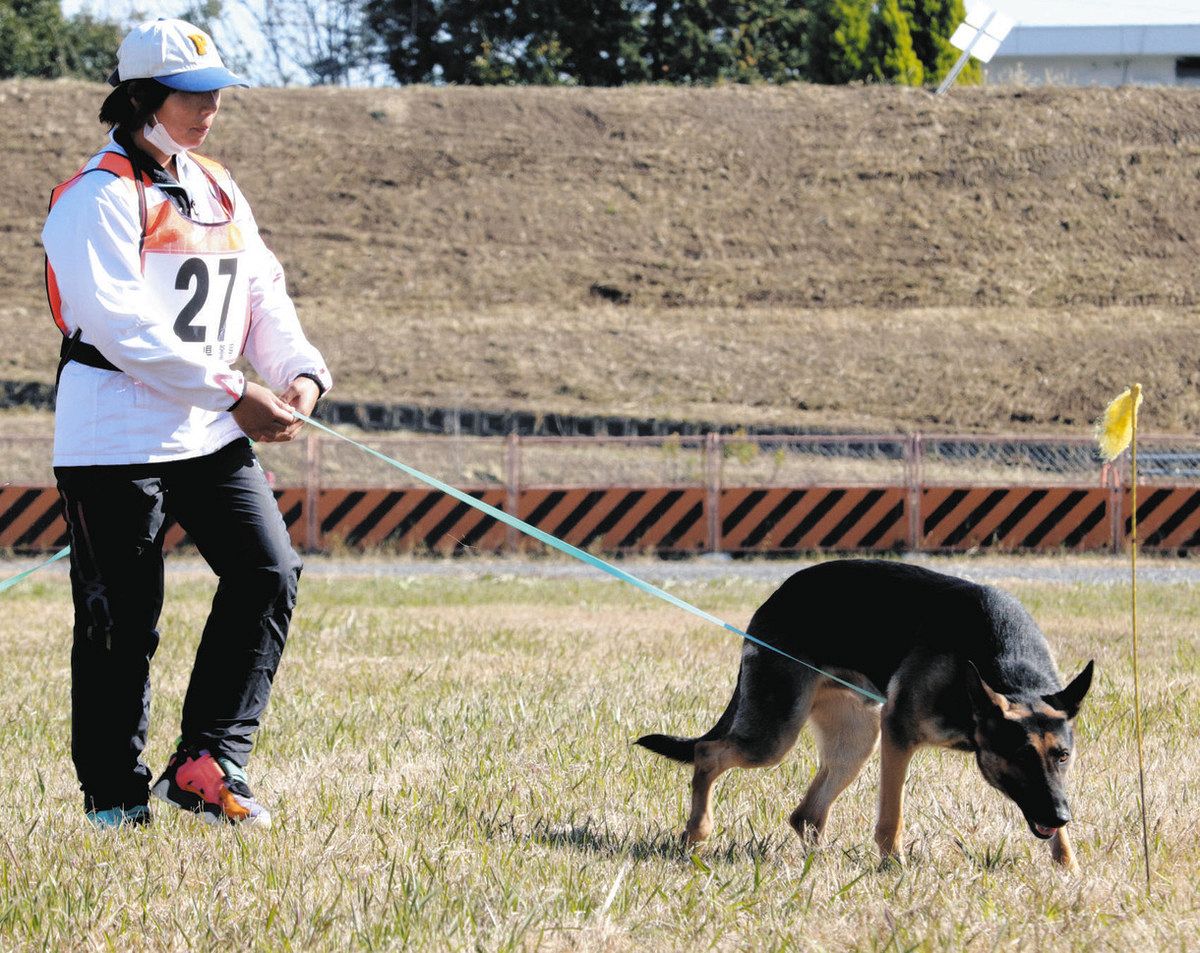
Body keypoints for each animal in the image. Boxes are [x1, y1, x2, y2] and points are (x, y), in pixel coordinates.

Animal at [638, 561, 1099, 864]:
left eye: (1062, 756)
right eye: (1020, 755)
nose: (1062, 815)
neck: (1009, 672)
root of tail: (776, 595)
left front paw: (1069, 869)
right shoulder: (897, 734)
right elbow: (891, 817)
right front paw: (893, 868)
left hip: (854, 743)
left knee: (805, 815)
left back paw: (818, 865)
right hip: (775, 736)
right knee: (708, 754)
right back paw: (696, 834)